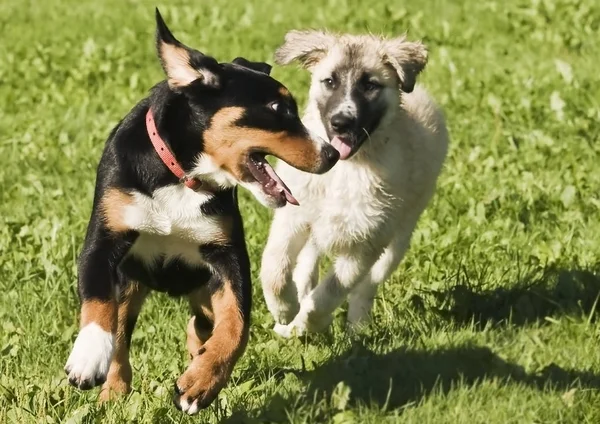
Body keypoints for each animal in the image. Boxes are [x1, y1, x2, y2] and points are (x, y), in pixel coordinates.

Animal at [65, 9, 340, 414]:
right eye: (279, 110)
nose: (333, 154)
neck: (181, 175)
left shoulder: (227, 255)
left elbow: (237, 325)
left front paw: (201, 382)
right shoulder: (103, 242)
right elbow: (99, 305)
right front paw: (87, 357)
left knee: (201, 325)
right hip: (130, 282)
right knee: (121, 333)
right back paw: (113, 390)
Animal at [260, 29, 448, 336]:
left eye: (370, 85)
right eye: (330, 82)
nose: (341, 122)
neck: (344, 170)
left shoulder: (365, 244)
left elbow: (329, 295)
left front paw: (306, 323)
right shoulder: (292, 216)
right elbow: (274, 268)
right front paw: (284, 311)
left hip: (397, 241)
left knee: (366, 287)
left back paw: (356, 327)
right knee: (306, 265)